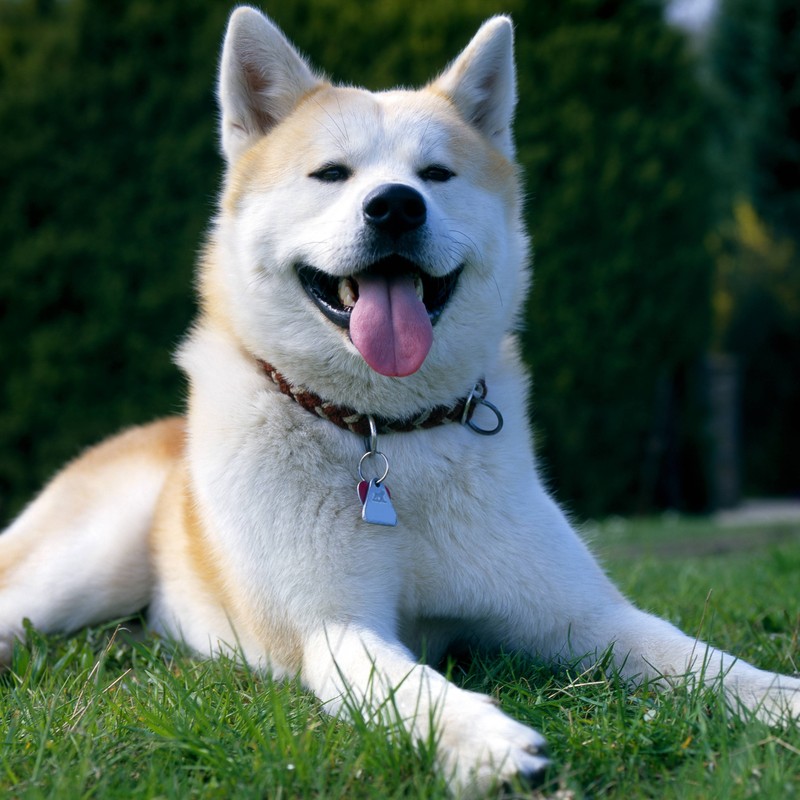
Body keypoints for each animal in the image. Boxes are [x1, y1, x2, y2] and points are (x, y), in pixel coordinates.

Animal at [1, 4, 800, 792]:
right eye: (331, 174)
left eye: (436, 175)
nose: (394, 207)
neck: (387, 432)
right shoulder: (330, 627)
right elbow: (406, 686)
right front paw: (483, 740)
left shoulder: (581, 615)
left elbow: (696, 658)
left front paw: (778, 697)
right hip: (75, 575)